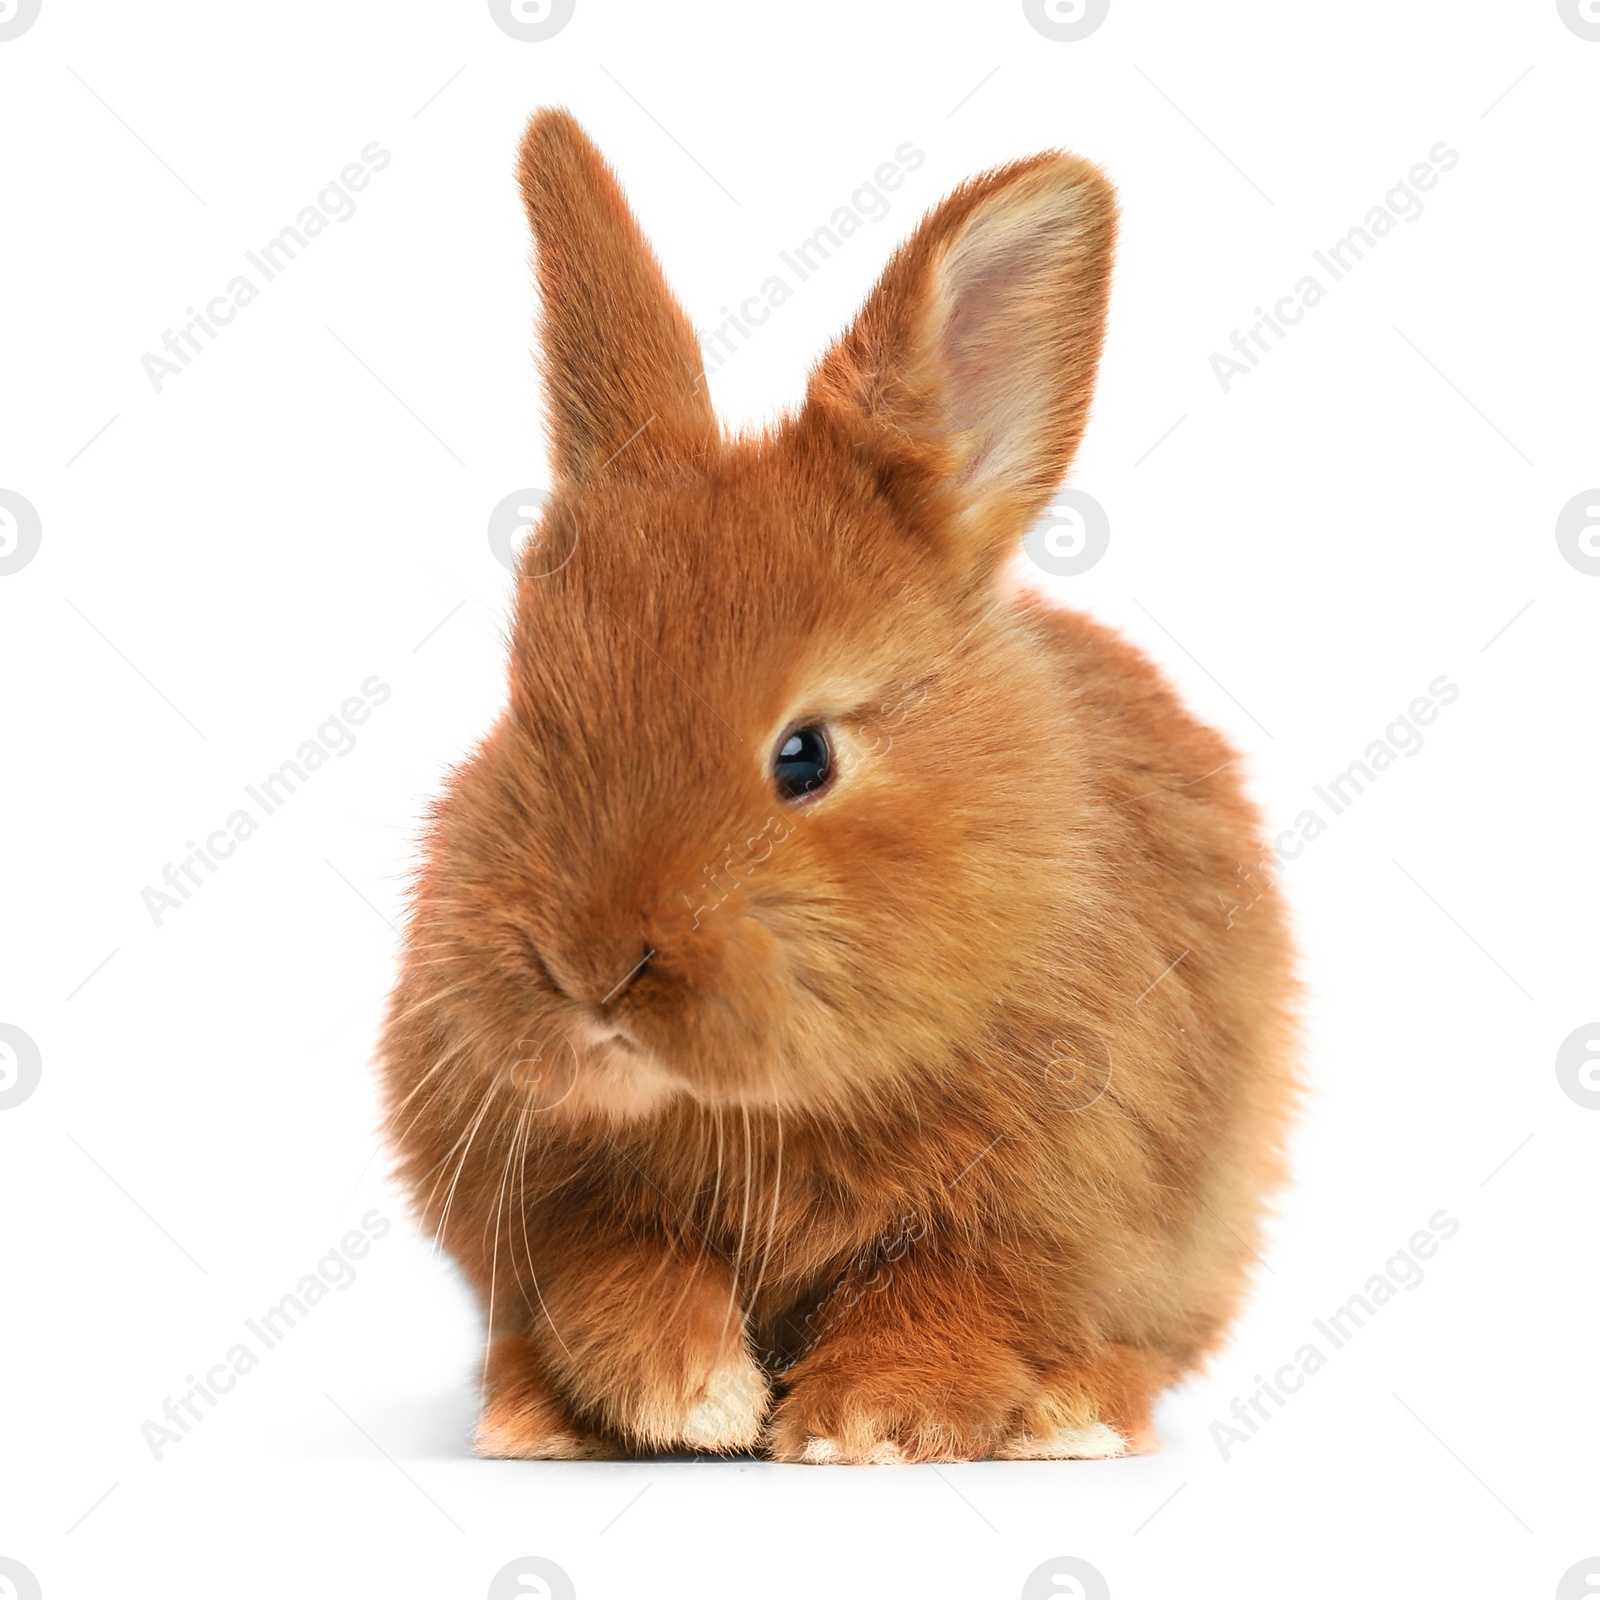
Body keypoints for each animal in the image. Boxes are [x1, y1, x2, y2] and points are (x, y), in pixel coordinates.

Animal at [384, 109, 1299, 1465]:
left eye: (802, 755)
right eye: (529, 713)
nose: (590, 967)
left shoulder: (1053, 1204)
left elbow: (956, 1292)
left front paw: (860, 1424)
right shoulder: (536, 1187)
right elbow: (608, 1270)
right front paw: (696, 1394)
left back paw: (1075, 1418)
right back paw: (527, 1418)